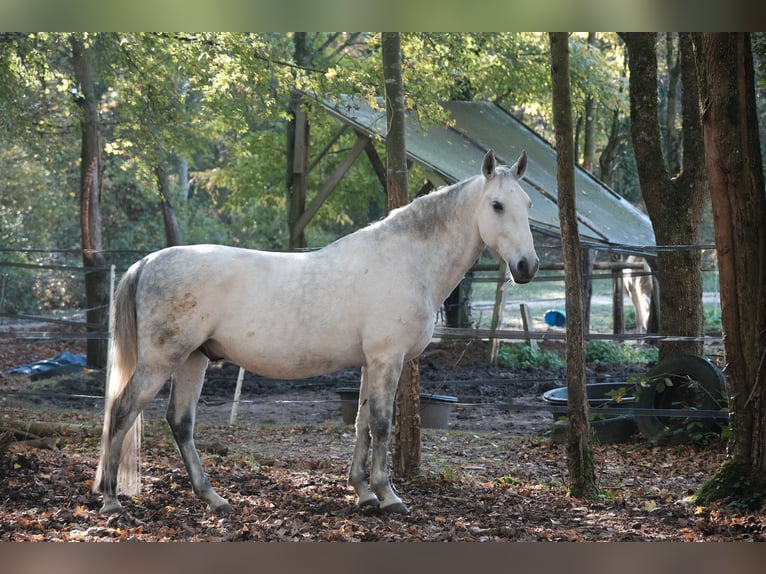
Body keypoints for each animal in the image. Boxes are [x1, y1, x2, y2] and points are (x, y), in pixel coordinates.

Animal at [96, 148, 540, 516]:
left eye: (527, 204)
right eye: (497, 205)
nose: (527, 266)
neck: (405, 260)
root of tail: (147, 262)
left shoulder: (370, 362)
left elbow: (362, 422)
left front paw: (363, 493)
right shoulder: (387, 358)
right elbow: (382, 423)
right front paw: (389, 496)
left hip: (193, 359)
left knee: (180, 422)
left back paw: (213, 498)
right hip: (161, 361)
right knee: (122, 411)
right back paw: (112, 500)